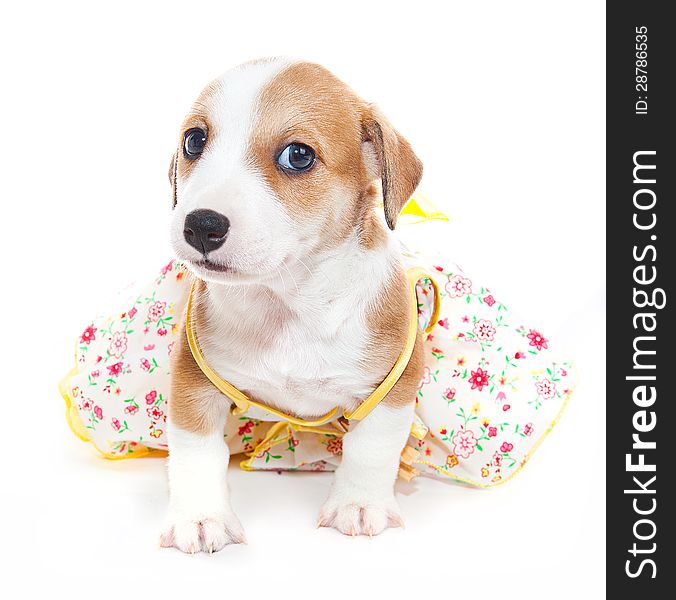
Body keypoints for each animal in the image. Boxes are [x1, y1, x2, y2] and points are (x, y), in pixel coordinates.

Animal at [161, 57, 422, 552]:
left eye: (298, 156)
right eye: (194, 140)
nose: (201, 225)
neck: (288, 304)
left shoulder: (393, 385)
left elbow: (373, 447)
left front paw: (359, 504)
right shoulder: (194, 379)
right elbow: (196, 452)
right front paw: (202, 516)